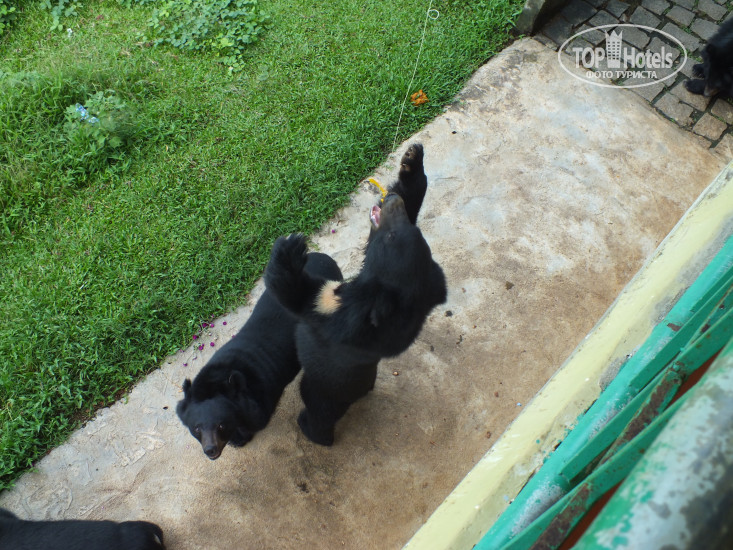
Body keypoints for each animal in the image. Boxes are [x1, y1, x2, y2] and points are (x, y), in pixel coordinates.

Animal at [177, 252, 342, 459]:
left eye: (221, 425)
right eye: (196, 429)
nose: (210, 450)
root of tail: (323, 256)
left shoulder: (260, 399)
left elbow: (254, 422)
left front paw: (239, 438)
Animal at [265, 143, 447, 446]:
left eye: (392, 237)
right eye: (411, 228)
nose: (392, 199)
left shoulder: (339, 317)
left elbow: (301, 297)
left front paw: (291, 247)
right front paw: (412, 160)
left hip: (321, 390)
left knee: (318, 412)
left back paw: (313, 432)